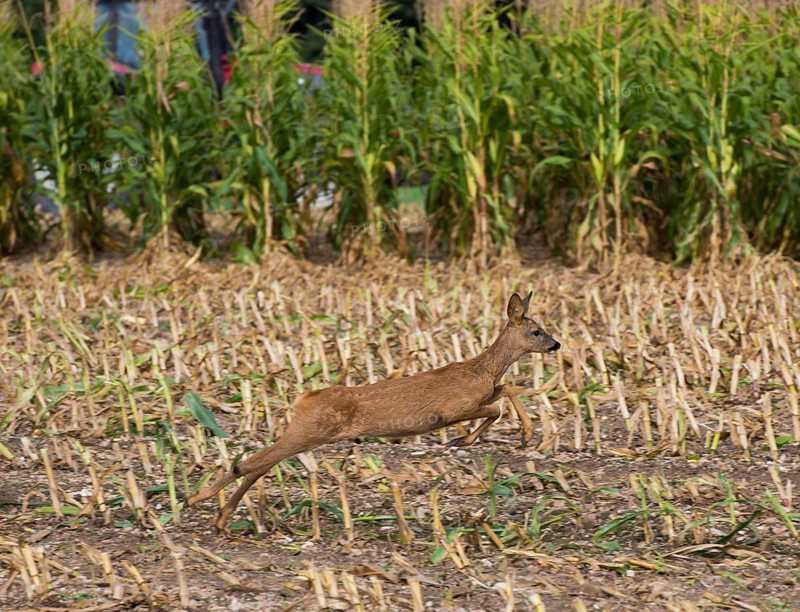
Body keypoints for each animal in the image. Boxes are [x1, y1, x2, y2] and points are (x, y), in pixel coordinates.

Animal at [185, 291, 561, 530]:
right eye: (536, 330)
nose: (556, 344)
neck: (482, 369)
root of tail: (304, 398)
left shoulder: (482, 394)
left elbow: (505, 390)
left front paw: (527, 434)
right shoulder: (453, 409)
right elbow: (495, 409)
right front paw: (465, 441)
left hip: (306, 432)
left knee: (259, 464)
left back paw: (219, 517)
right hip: (310, 430)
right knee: (251, 463)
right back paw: (198, 500)